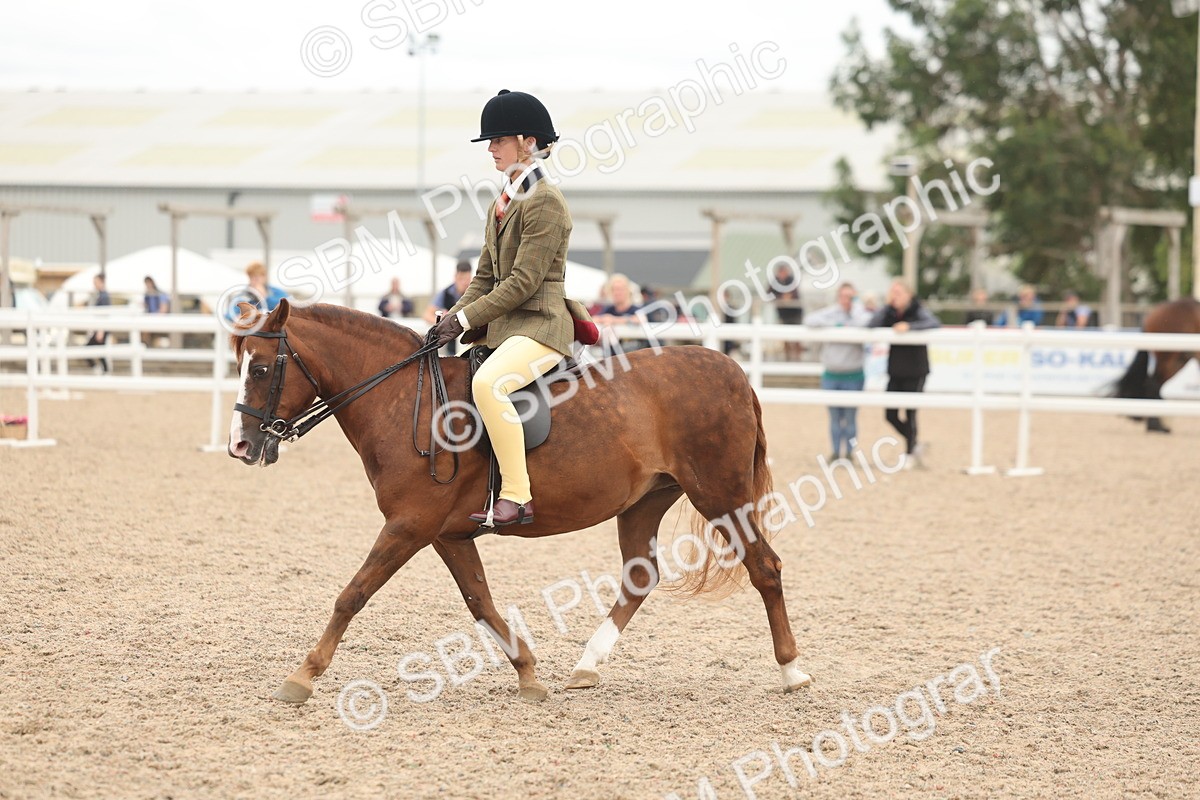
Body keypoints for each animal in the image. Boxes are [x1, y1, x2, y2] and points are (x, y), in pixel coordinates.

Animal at [226, 299, 812, 704]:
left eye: (261, 368)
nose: (241, 446)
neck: (406, 401)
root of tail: (730, 370)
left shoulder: (409, 525)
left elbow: (352, 595)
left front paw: (301, 676)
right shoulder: (446, 534)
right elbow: (480, 603)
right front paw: (529, 675)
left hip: (719, 494)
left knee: (765, 567)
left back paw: (792, 671)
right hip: (645, 502)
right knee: (640, 576)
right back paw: (587, 666)